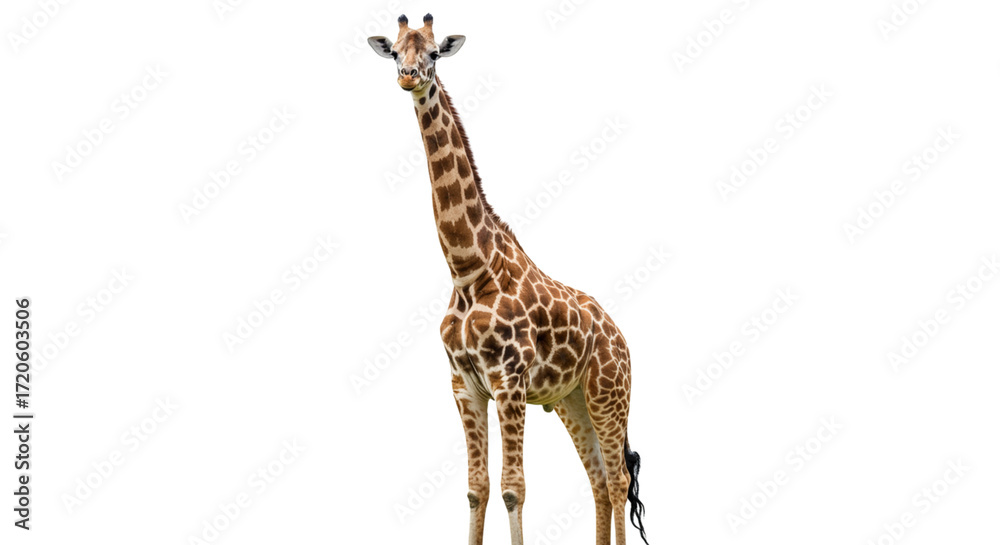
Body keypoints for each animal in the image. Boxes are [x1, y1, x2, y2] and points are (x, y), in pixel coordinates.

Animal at [368, 14, 649, 545]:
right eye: (394, 51)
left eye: (433, 53)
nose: (409, 77)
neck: (467, 269)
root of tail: (621, 337)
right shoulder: (464, 384)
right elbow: (476, 489)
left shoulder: (509, 380)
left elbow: (513, 488)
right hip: (572, 400)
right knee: (599, 479)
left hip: (609, 392)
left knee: (619, 479)